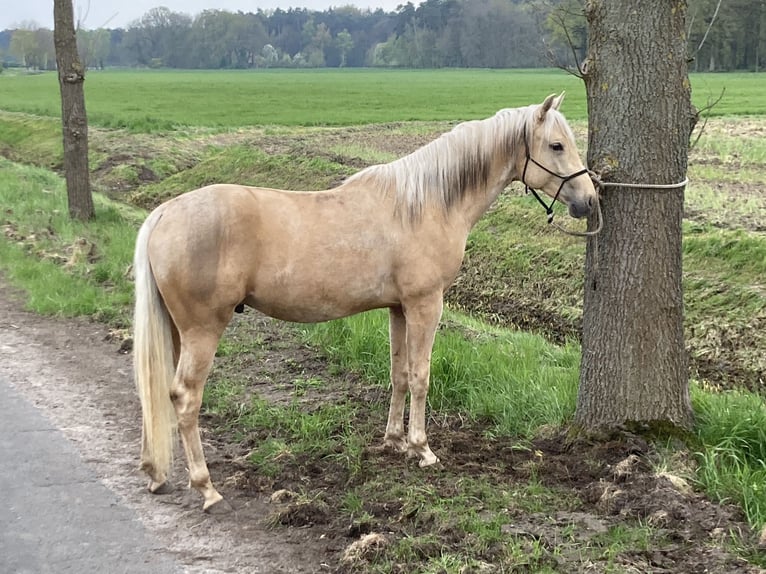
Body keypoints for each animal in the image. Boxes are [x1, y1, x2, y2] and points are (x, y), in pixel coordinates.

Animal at [132, 94, 600, 512]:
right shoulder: (425, 304)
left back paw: (156, 473)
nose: (590, 200)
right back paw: (206, 488)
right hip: (203, 330)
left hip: (177, 330)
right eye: (556, 145)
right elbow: (421, 377)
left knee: (159, 390)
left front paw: (394, 441)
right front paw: (422, 449)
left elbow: (399, 374)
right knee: (185, 397)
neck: (425, 203)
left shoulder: (398, 308)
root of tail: (163, 213)